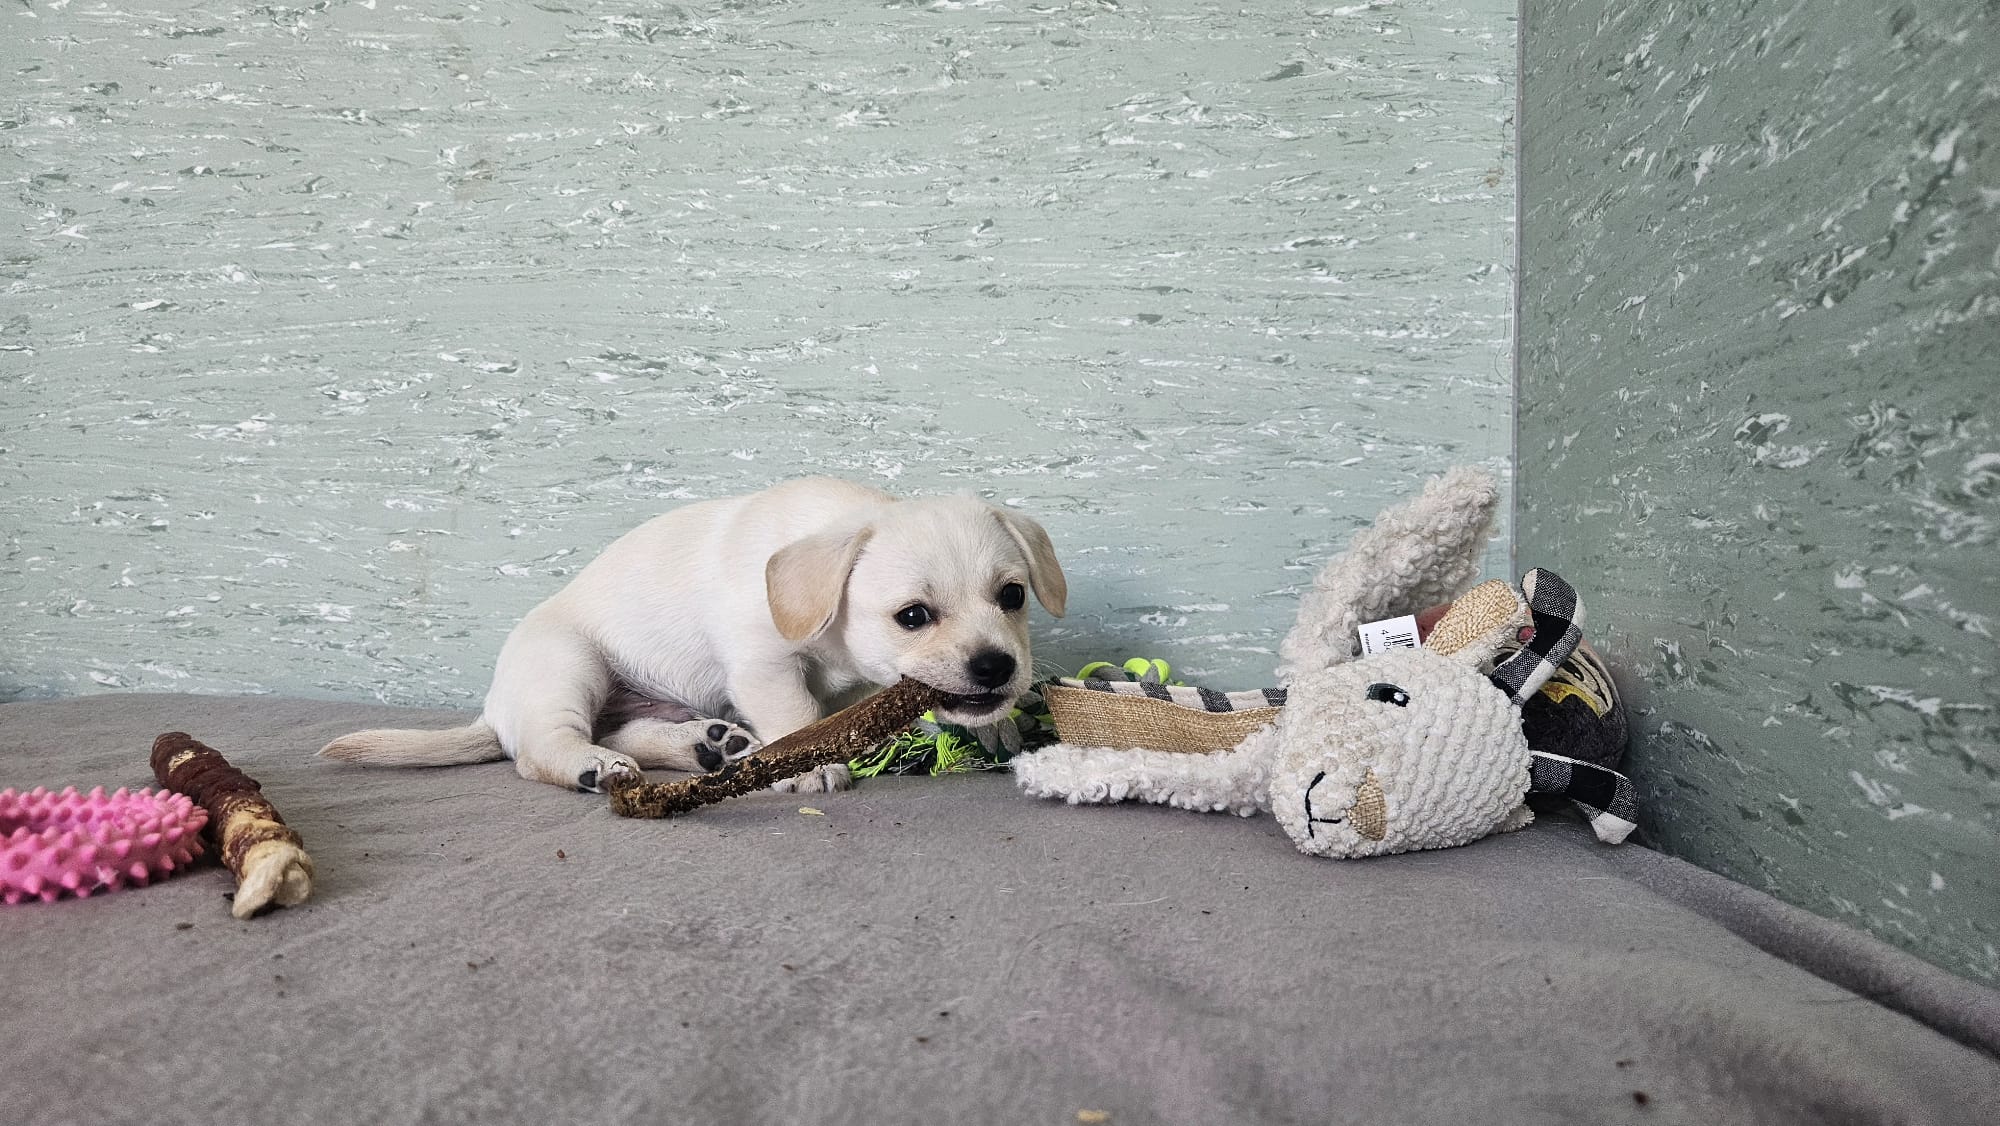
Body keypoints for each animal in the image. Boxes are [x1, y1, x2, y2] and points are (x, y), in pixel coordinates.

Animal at [319, 477, 1067, 794]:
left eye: (1012, 597)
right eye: (912, 616)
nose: (997, 668)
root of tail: (493, 707)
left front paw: (996, 727)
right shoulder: (765, 667)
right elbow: (799, 718)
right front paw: (811, 766)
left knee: (629, 731)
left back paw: (710, 746)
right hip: (569, 665)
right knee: (538, 749)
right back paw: (595, 766)